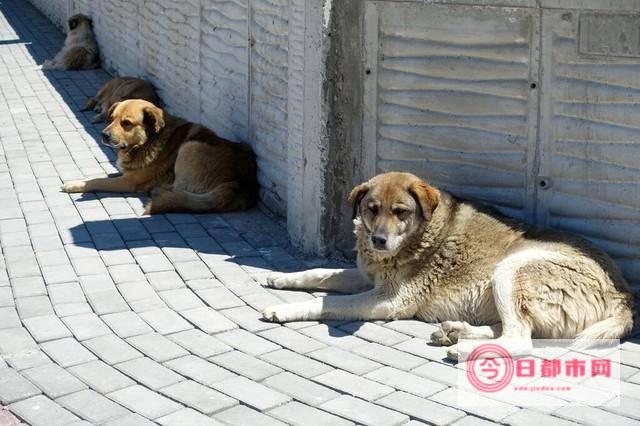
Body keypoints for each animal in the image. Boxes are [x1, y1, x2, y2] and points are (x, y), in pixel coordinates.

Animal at [60, 99, 258, 213]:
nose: (103, 135)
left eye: (126, 123)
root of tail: (241, 184)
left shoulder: (128, 182)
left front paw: (74, 184)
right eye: (111, 119)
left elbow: (96, 181)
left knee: (179, 190)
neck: (147, 141)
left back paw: (159, 190)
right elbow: (110, 173)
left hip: (189, 147)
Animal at [262, 171, 636, 358]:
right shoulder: (368, 277)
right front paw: (280, 280)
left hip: (510, 270)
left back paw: (465, 347)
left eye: (400, 212)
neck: (421, 233)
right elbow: (320, 274)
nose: (378, 241)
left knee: (519, 340)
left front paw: (285, 309)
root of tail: (623, 296)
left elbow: (325, 303)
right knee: (516, 331)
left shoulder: (387, 300)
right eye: (372, 208)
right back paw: (456, 332)